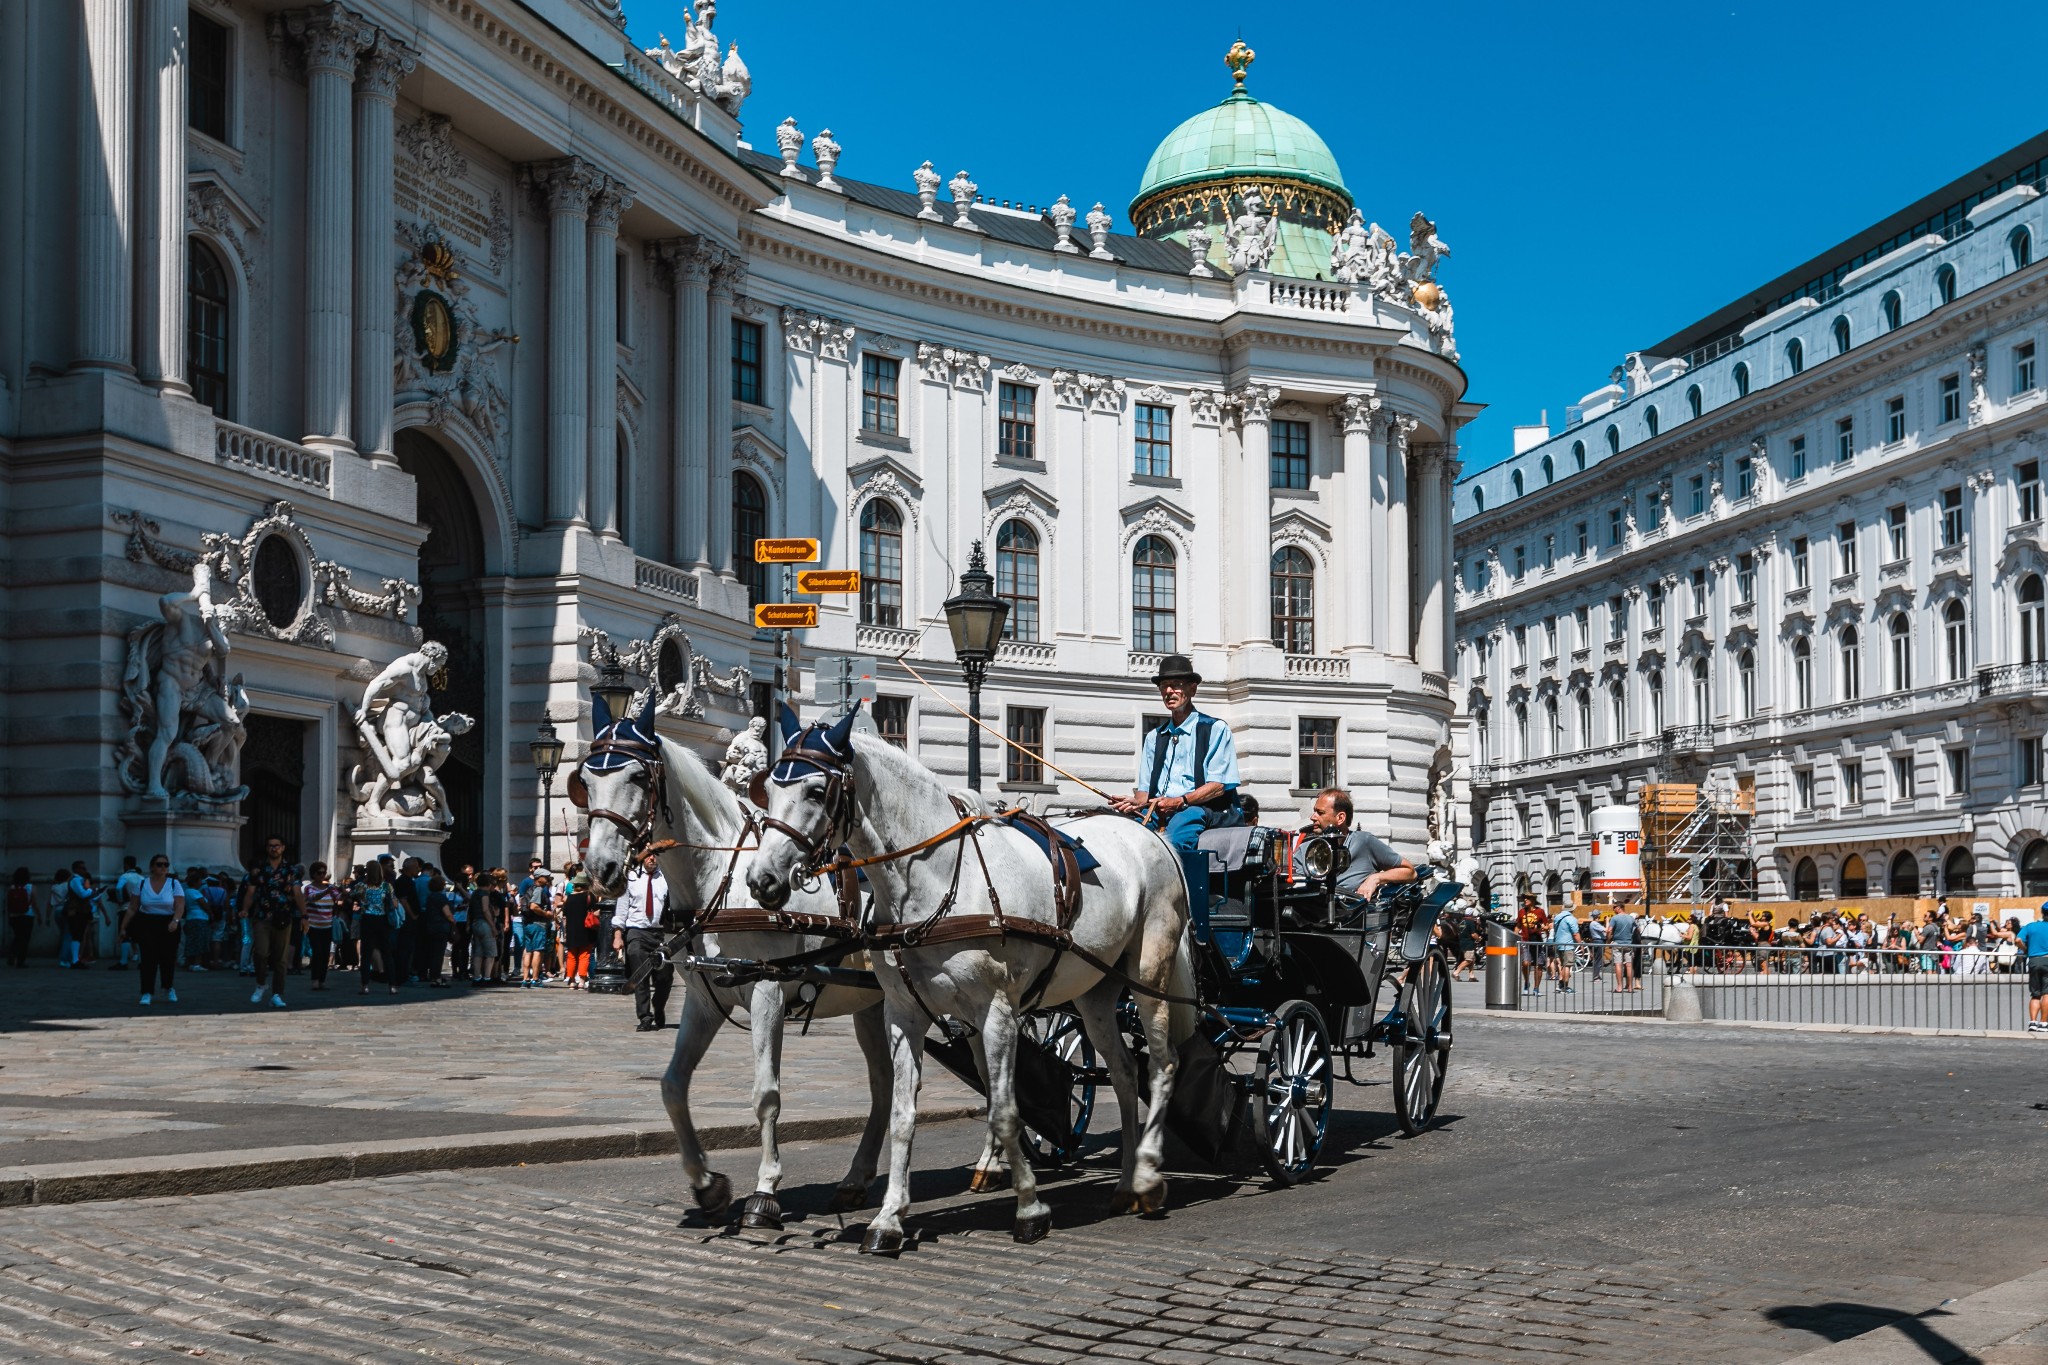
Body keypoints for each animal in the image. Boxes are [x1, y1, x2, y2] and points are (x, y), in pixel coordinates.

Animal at [581, 695, 892, 1227]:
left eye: (639, 778)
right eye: (584, 779)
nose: (600, 868)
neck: (719, 879)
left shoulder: (768, 993)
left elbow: (766, 1094)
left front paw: (765, 1191)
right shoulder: (704, 1002)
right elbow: (672, 1085)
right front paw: (707, 1185)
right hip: (872, 1005)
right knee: (885, 1085)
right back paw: (855, 1180)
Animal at [749, 712, 1196, 1252]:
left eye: (817, 790)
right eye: (769, 788)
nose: (761, 880)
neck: (934, 880)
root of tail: (1150, 833)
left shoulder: (997, 1011)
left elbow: (1004, 1110)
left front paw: (1030, 1208)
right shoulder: (903, 1014)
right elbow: (902, 1114)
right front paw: (889, 1218)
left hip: (1150, 971)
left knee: (1163, 1065)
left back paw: (1148, 1176)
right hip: (1094, 993)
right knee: (1127, 1073)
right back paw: (1128, 1181)